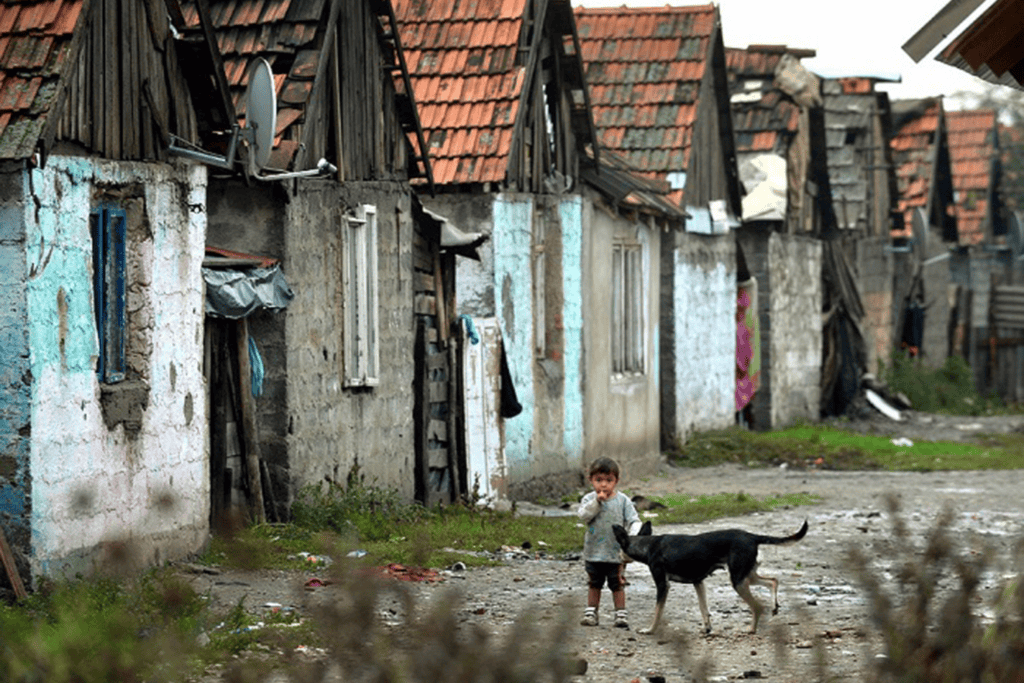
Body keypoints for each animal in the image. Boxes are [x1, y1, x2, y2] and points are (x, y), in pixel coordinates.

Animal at [612, 519, 808, 635]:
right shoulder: (698, 582)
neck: (648, 545)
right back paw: (774, 606)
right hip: (746, 576)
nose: (618, 558)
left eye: (620, 548)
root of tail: (752, 536)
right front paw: (707, 628)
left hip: (738, 581)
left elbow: (657, 611)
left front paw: (650, 630)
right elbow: (703, 608)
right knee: (773, 581)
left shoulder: (663, 585)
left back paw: (751, 629)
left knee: (758, 606)